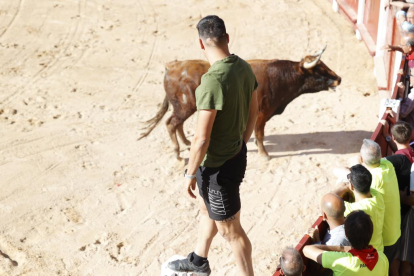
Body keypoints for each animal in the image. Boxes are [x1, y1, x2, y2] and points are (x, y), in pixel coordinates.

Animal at [141, 47, 342, 160]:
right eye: (318, 70)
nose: (339, 79)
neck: (279, 77)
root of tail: (172, 66)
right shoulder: (262, 114)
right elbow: (259, 135)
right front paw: (264, 155)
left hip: (185, 107)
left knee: (177, 124)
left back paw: (188, 143)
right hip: (184, 106)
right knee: (171, 123)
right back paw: (177, 154)